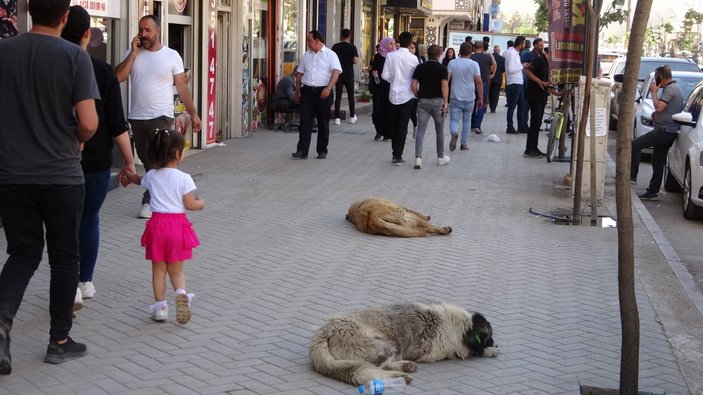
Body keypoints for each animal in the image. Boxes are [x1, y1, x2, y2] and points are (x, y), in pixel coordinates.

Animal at [310, 304, 500, 386]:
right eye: (489, 337)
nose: (495, 343)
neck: (460, 327)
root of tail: (322, 334)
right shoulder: (435, 352)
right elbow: (470, 352)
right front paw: (491, 350)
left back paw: (405, 368)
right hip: (385, 344)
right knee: (378, 367)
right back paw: (401, 373)